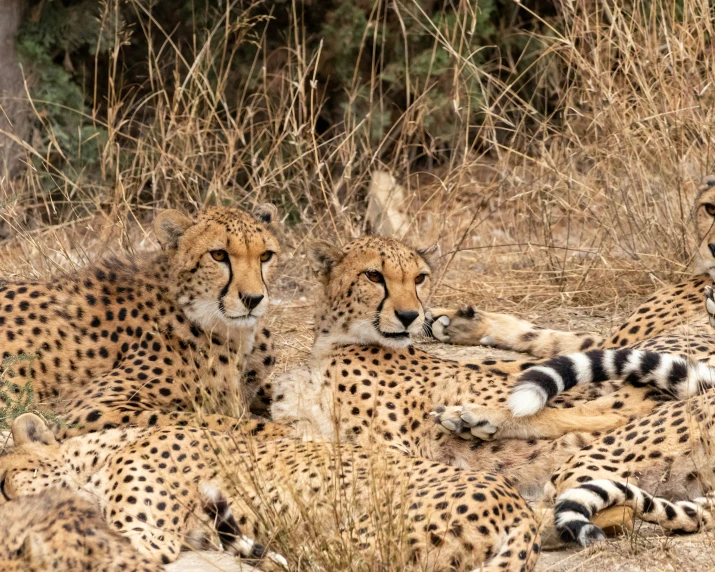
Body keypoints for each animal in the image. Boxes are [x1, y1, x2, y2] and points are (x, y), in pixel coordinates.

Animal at [0, 203, 286, 436]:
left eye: (265, 255)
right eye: (218, 255)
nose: (253, 299)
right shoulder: (88, 409)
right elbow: (212, 421)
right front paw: (285, 431)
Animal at [272, 236, 652, 496]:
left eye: (419, 278)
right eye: (374, 276)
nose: (410, 316)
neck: (336, 340)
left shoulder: (392, 450)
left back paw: (474, 419)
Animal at [428, 177, 715, 440]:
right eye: (710, 208)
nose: (713, 248)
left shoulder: (621, 346)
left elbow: (504, 363)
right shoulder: (610, 343)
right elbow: (552, 337)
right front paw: (462, 322)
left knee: (611, 412)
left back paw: (482, 417)